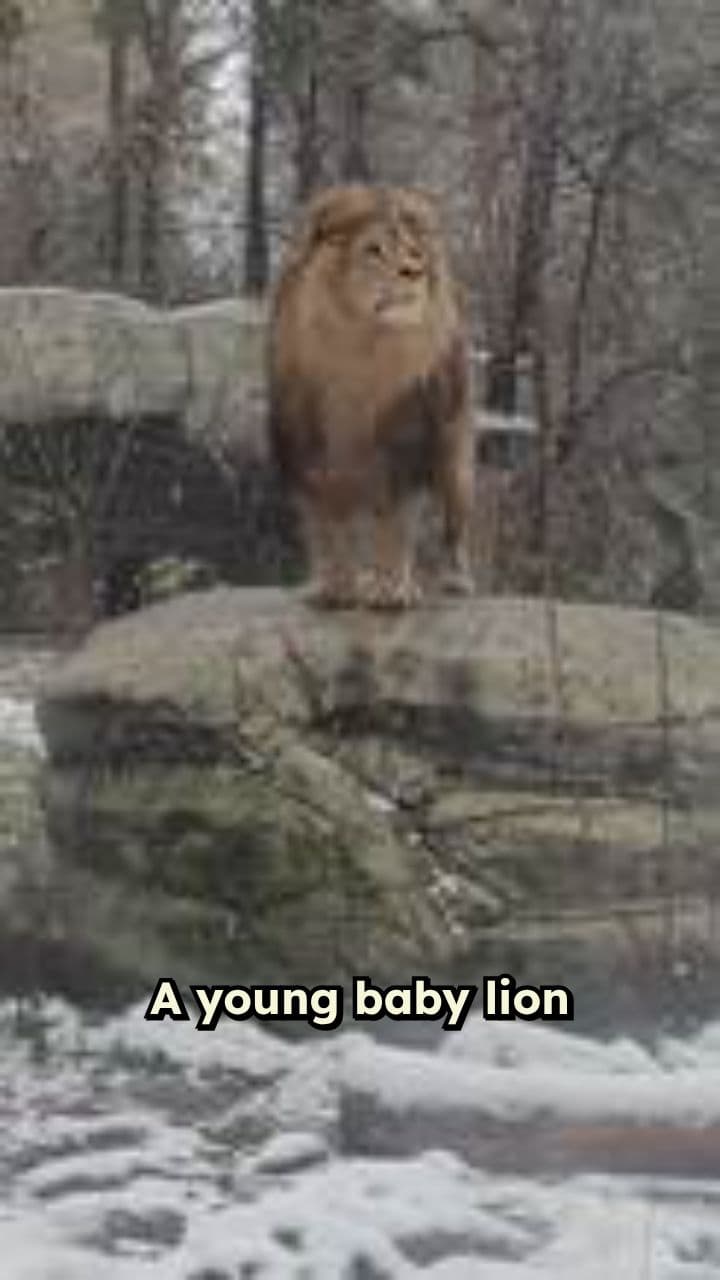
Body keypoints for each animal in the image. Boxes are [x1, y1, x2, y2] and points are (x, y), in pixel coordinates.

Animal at [267, 184, 475, 608]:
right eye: (373, 249)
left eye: (413, 251)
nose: (414, 271)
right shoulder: (305, 454)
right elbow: (325, 528)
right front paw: (333, 586)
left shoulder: (406, 452)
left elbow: (396, 526)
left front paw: (392, 589)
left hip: (453, 454)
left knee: (453, 524)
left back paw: (455, 580)